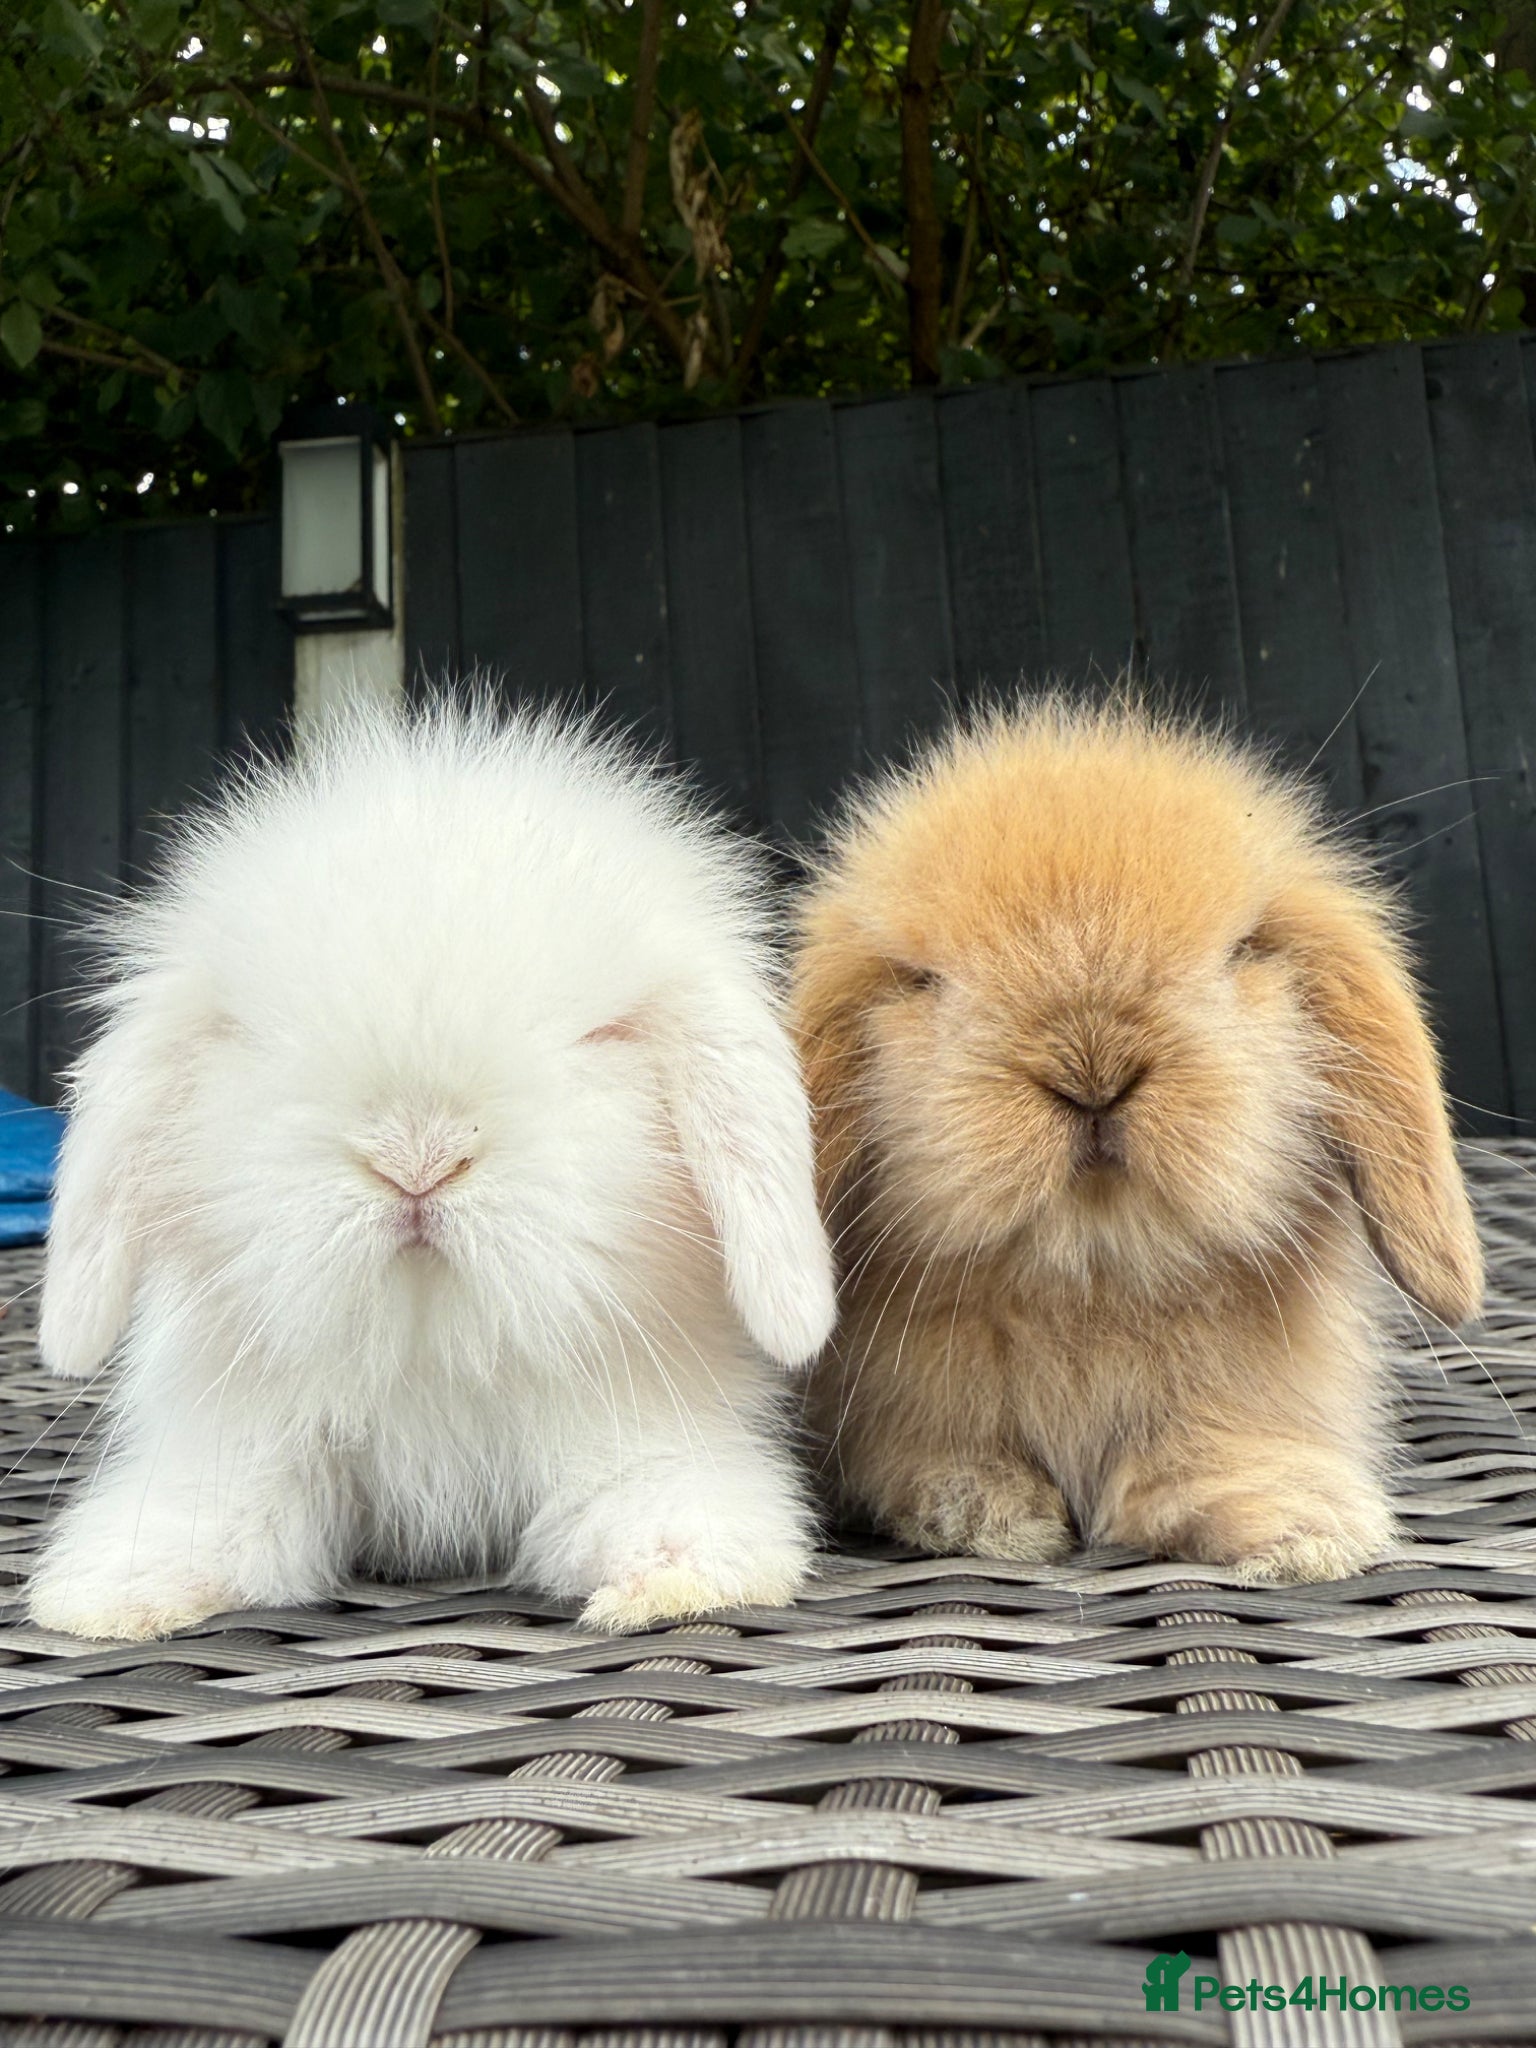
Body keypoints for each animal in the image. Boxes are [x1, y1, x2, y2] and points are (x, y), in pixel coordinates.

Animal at [29, 695, 835, 1641]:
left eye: (600, 1035)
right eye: (252, 1037)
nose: (416, 1159)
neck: (429, 1348)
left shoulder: (634, 1429)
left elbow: (648, 1502)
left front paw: (682, 1581)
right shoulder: (249, 1445)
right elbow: (217, 1522)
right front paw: (108, 1598)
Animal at [792, 695, 1482, 1585]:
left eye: (1241, 952)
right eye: (921, 981)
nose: (1093, 1069)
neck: (1092, 1278)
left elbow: (1202, 1459)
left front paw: (1297, 1529)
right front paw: (984, 1507)